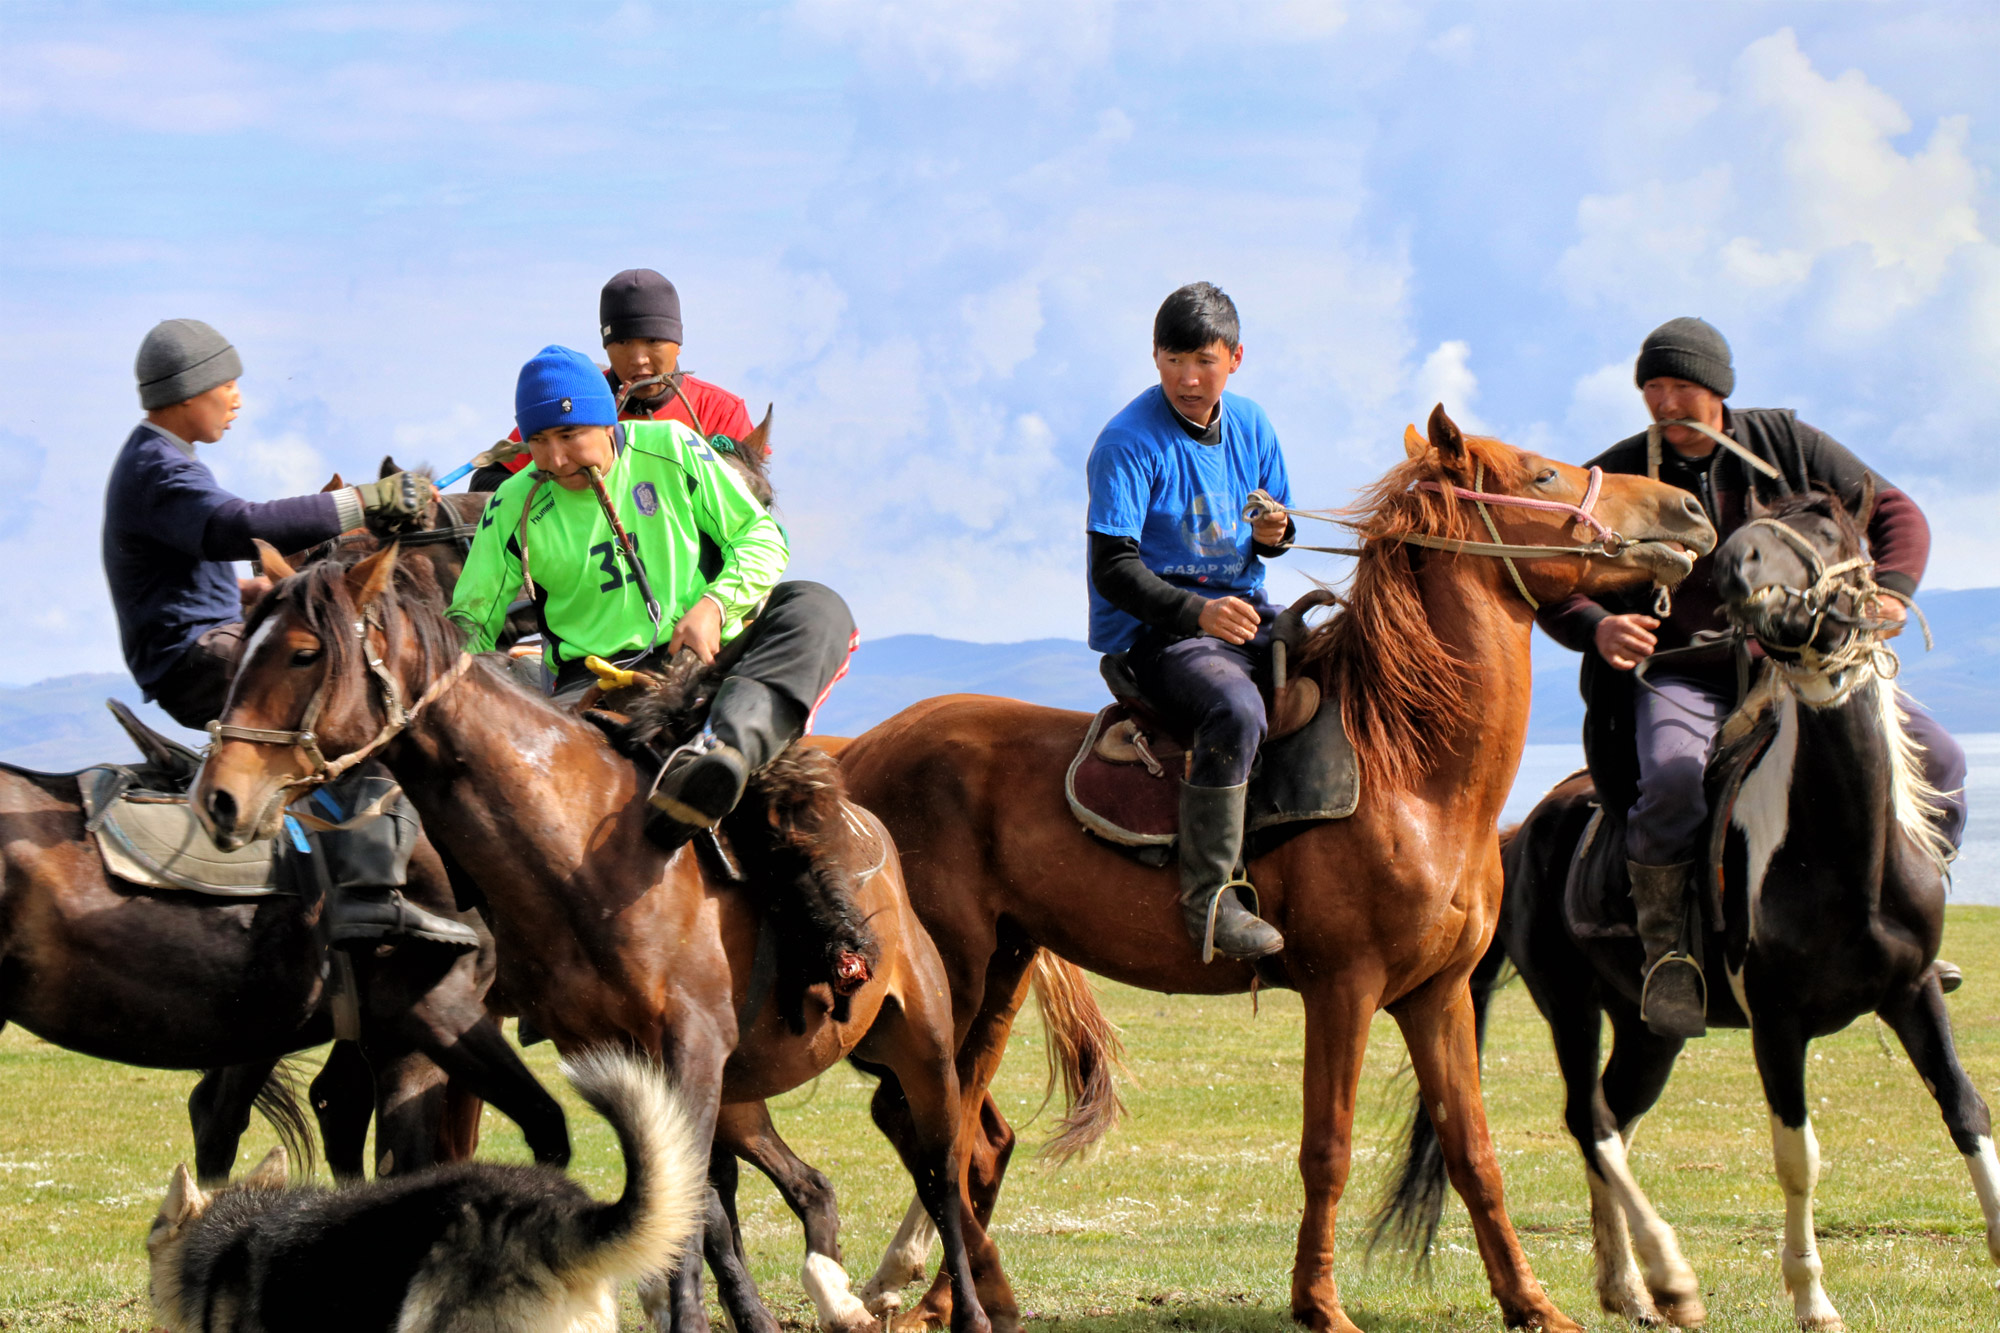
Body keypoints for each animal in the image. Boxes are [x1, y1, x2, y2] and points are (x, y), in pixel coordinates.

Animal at [193, 544, 1064, 1328]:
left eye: (305, 652)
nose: (221, 797)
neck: (582, 849)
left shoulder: (687, 1046)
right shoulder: (611, 1053)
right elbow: (687, 1210)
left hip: (923, 1046)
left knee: (943, 1172)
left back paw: (959, 1309)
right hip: (754, 1085)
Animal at [844, 408, 1720, 1328]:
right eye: (1543, 475)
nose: (1689, 513)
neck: (1412, 769)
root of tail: (855, 760)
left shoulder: (1438, 994)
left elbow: (1472, 1151)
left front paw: (1531, 1302)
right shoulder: (1343, 987)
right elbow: (1326, 1147)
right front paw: (1320, 1302)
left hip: (998, 976)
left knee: (961, 1133)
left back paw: (959, 1296)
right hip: (955, 977)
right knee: (914, 1119)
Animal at [1384, 488, 1992, 1328]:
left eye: (1826, 526)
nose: (1737, 567)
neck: (1842, 845)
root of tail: (1520, 830)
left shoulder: (1913, 991)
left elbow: (1967, 1108)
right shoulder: (1777, 1021)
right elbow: (1798, 1155)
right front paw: (1812, 1296)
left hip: (1651, 1028)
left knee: (1613, 1117)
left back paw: (1627, 1284)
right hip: (1571, 1005)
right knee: (1590, 1118)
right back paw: (1667, 1276)